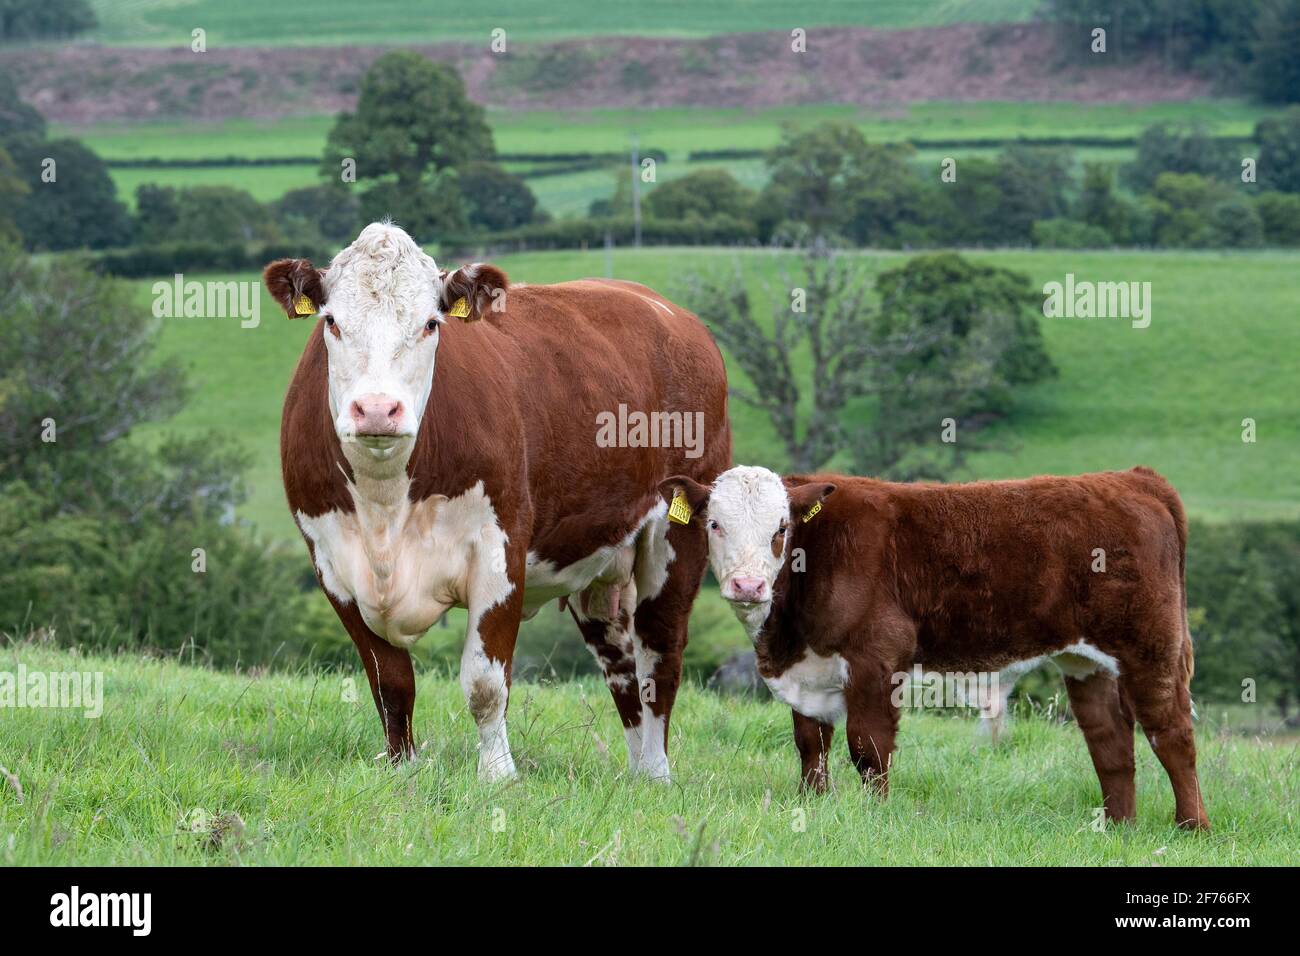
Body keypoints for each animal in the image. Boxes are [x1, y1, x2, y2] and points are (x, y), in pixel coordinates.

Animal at [263, 222, 733, 780]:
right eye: (332, 322)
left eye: (431, 324)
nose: (377, 410)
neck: (385, 506)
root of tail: (670, 312)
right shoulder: (333, 565)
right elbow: (390, 683)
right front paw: (402, 770)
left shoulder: (500, 548)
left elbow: (485, 683)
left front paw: (497, 775)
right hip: (600, 557)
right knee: (619, 662)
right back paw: (637, 772)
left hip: (677, 534)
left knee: (660, 655)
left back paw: (658, 773)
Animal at [665, 463, 1211, 832]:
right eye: (715, 524)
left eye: (780, 529)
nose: (749, 585)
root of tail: (1129, 479)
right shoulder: (808, 670)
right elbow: (810, 744)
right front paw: (813, 806)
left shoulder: (877, 655)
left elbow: (868, 748)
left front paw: (875, 817)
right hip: (1085, 659)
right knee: (1110, 742)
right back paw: (1118, 827)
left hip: (1150, 646)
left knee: (1172, 734)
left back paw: (1192, 828)